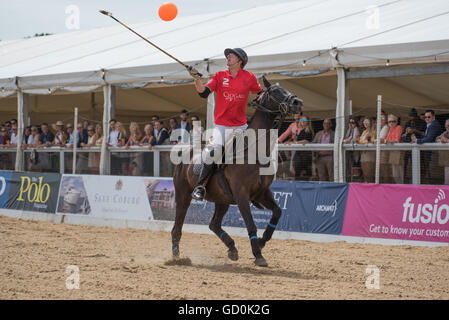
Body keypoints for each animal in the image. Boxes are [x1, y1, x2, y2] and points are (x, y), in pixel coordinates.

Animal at [170, 77, 302, 268]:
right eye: (276, 91)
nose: (298, 103)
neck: (254, 151)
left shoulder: (262, 193)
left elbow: (277, 213)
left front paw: (262, 241)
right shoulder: (241, 195)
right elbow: (251, 224)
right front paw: (258, 254)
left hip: (222, 199)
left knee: (214, 224)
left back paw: (232, 248)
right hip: (183, 196)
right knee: (177, 227)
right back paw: (176, 257)